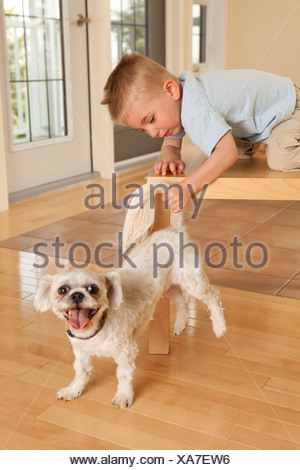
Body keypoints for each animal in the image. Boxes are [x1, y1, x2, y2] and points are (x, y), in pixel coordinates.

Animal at [34, 184, 226, 408]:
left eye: (93, 288)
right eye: (62, 290)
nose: (77, 295)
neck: (96, 329)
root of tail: (175, 229)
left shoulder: (125, 351)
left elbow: (124, 376)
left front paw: (124, 396)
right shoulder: (81, 354)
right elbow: (80, 373)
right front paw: (73, 390)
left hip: (192, 281)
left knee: (213, 297)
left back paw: (219, 326)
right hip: (169, 286)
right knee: (181, 301)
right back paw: (179, 325)